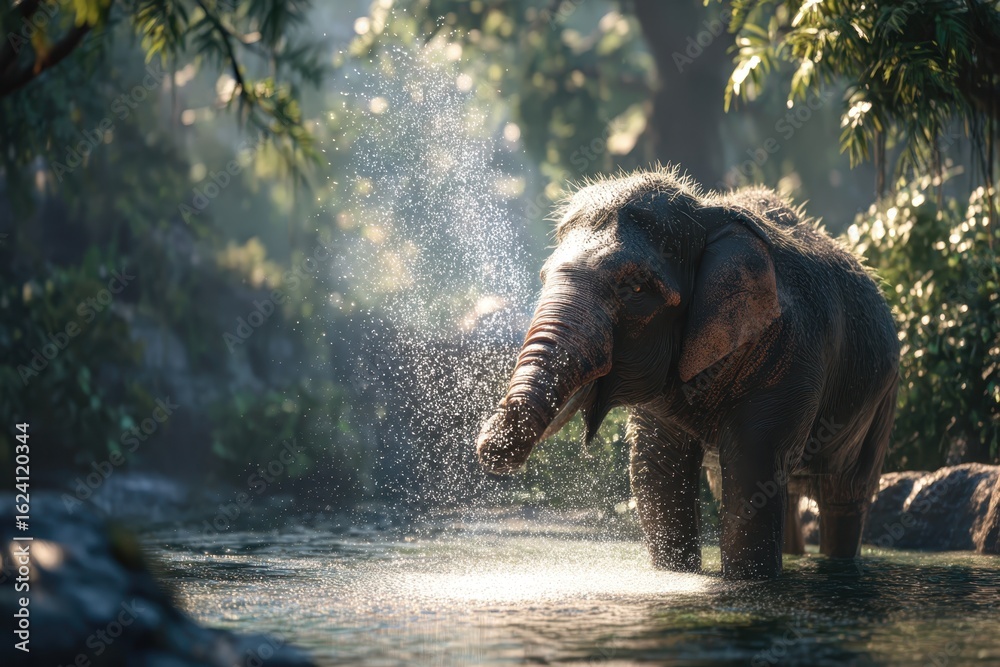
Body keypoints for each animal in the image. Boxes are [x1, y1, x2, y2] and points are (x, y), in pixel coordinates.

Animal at [475, 166, 899, 580]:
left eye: (636, 289)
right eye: (544, 277)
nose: (491, 446)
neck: (705, 213)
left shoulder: (791, 354)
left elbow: (754, 468)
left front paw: (750, 581)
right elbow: (657, 466)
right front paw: (674, 572)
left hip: (883, 399)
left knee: (846, 496)